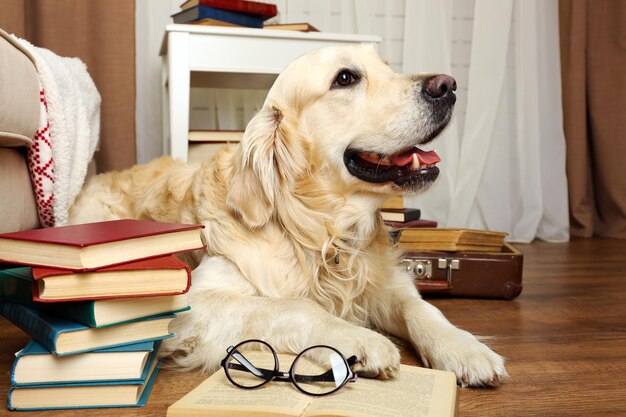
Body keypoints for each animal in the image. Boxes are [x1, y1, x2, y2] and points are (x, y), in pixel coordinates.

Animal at [70, 44, 504, 386]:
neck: (318, 229)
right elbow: (294, 305)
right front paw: (361, 340)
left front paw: (465, 348)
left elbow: (421, 307)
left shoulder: (386, 281)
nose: (447, 86)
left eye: (387, 67)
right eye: (345, 78)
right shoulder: (192, 303)